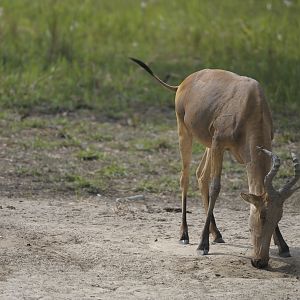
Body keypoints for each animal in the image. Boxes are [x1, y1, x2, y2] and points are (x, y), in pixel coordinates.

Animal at [131, 57, 300, 268]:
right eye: (261, 216)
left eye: (279, 216)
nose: (259, 261)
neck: (249, 102)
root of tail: (184, 82)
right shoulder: (219, 143)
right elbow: (216, 187)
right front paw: (202, 246)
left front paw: (283, 247)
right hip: (186, 133)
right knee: (185, 178)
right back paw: (185, 235)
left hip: (208, 144)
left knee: (200, 175)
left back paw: (216, 234)